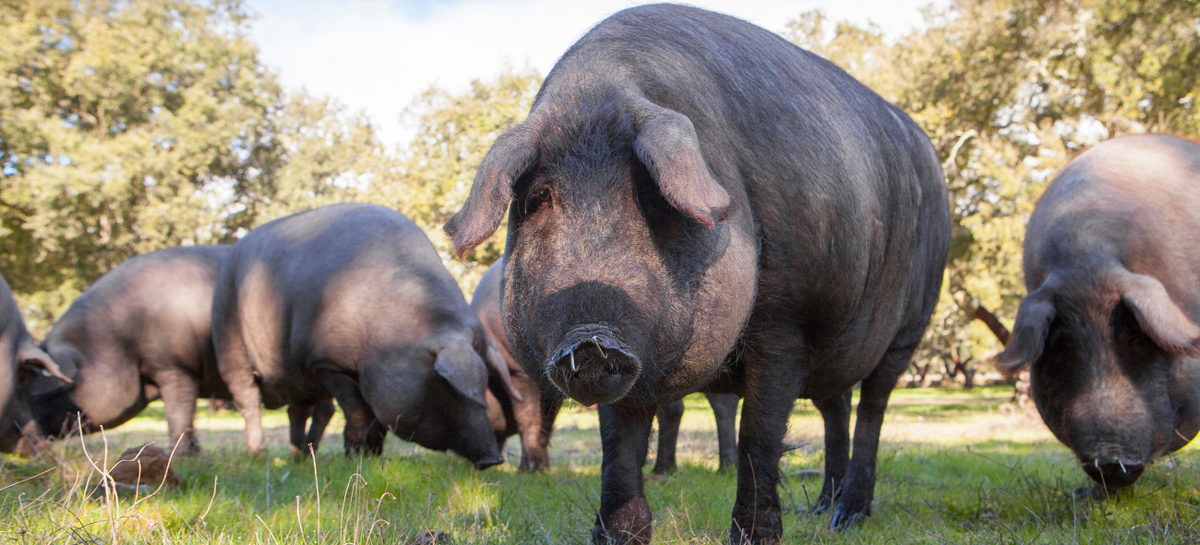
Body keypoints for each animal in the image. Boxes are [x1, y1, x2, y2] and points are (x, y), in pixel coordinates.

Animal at [27, 246, 328, 457]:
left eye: (48, 392)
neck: (115, 337)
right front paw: (192, 453)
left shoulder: (174, 367)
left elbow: (177, 412)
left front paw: (181, 456)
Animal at [212, 203, 516, 468]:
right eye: (445, 384)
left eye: (485, 383)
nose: (493, 459)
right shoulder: (327, 364)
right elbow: (357, 412)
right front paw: (355, 457)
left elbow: (376, 418)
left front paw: (372, 457)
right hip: (229, 339)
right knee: (248, 399)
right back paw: (258, 455)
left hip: (299, 378)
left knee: (297, 411)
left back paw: (299, 459)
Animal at [444, 4, 950, 542]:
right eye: (539, 197)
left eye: (649, 193)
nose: (590, 338)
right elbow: (618, 445)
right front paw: (617, 535)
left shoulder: (789, 321)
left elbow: (760, 434)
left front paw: (754, 536)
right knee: (835, 407)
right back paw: (821, 511)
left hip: (910, 325)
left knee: (872, 406)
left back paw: (846, 517)